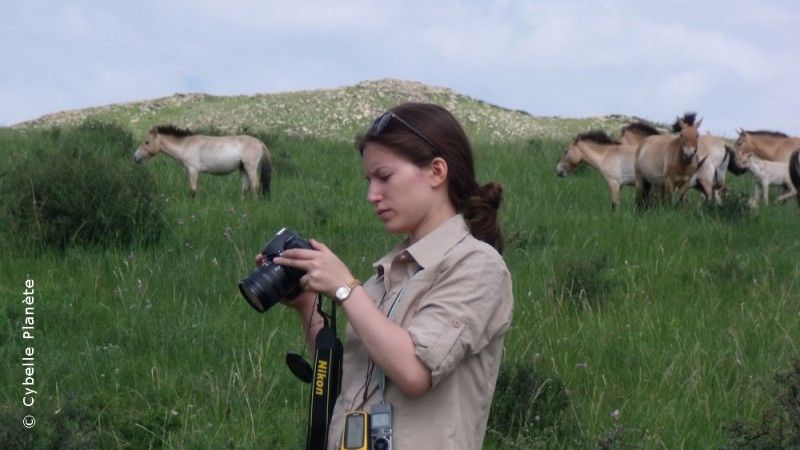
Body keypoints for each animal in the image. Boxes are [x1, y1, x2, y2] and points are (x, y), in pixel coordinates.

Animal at [134, 125, 272, 198]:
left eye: (147, 142)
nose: (135, 157)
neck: (186, 145)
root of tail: (260, 143)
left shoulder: (193, 170)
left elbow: (193, 190)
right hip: (243, 168)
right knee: (245, 188)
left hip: (250, 167)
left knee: (255, 186)